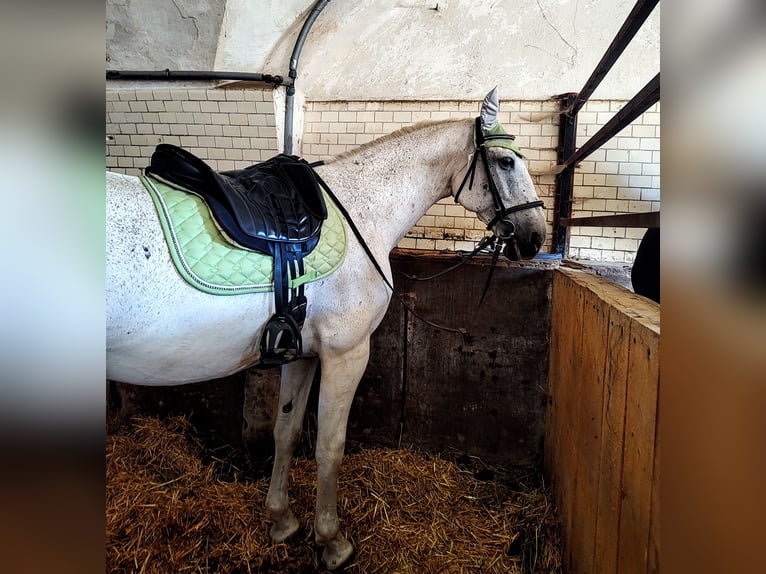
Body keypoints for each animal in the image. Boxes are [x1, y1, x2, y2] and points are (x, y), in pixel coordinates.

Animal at [108, 88, 548, 568]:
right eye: (505, 162)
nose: (535, 237)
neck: (361, 213)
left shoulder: (298, 354)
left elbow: (286, 432)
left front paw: (282, 521)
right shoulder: (346, 355)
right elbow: (330, 448)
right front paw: (332, 542)